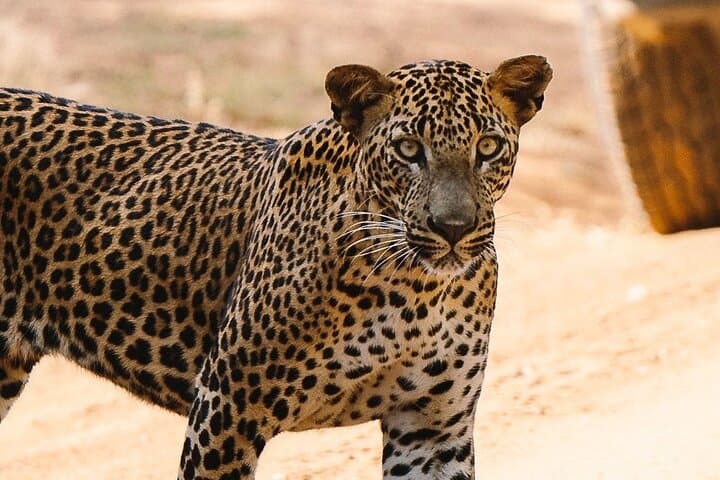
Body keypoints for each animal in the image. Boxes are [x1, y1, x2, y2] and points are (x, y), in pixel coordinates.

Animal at [0, 55, 552, 479]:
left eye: (488, 148)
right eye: (409, 149)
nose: (453, 228)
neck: (414, 289)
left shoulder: (433, 428)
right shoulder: (226, 409)